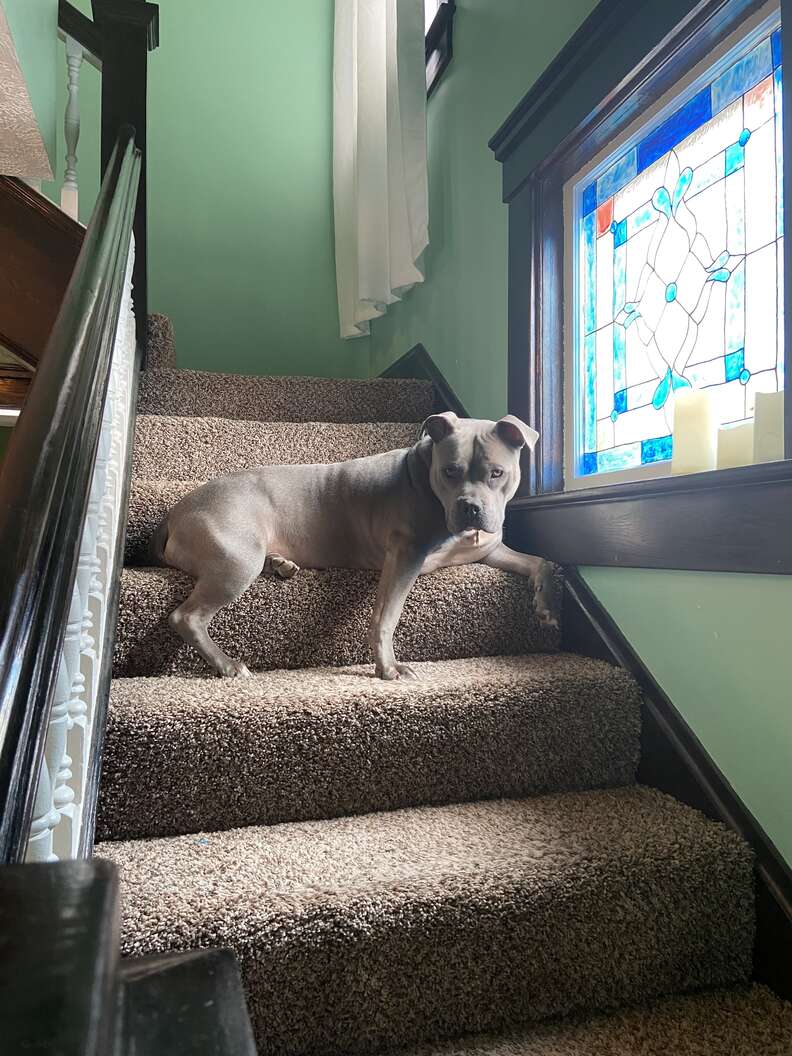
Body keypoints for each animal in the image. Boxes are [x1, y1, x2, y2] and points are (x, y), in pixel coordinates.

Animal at [149, 407, 557, 680]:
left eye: (497, 473)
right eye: (450, 471)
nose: (470, 508)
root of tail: (176, 511)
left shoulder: (490, 547)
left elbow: (541, 562)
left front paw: (546, 606)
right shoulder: (404, 556)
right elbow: (385, 616)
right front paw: (388, 668)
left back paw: (281, 565)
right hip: (237, 559)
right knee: (187, 616)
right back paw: (227, 664)